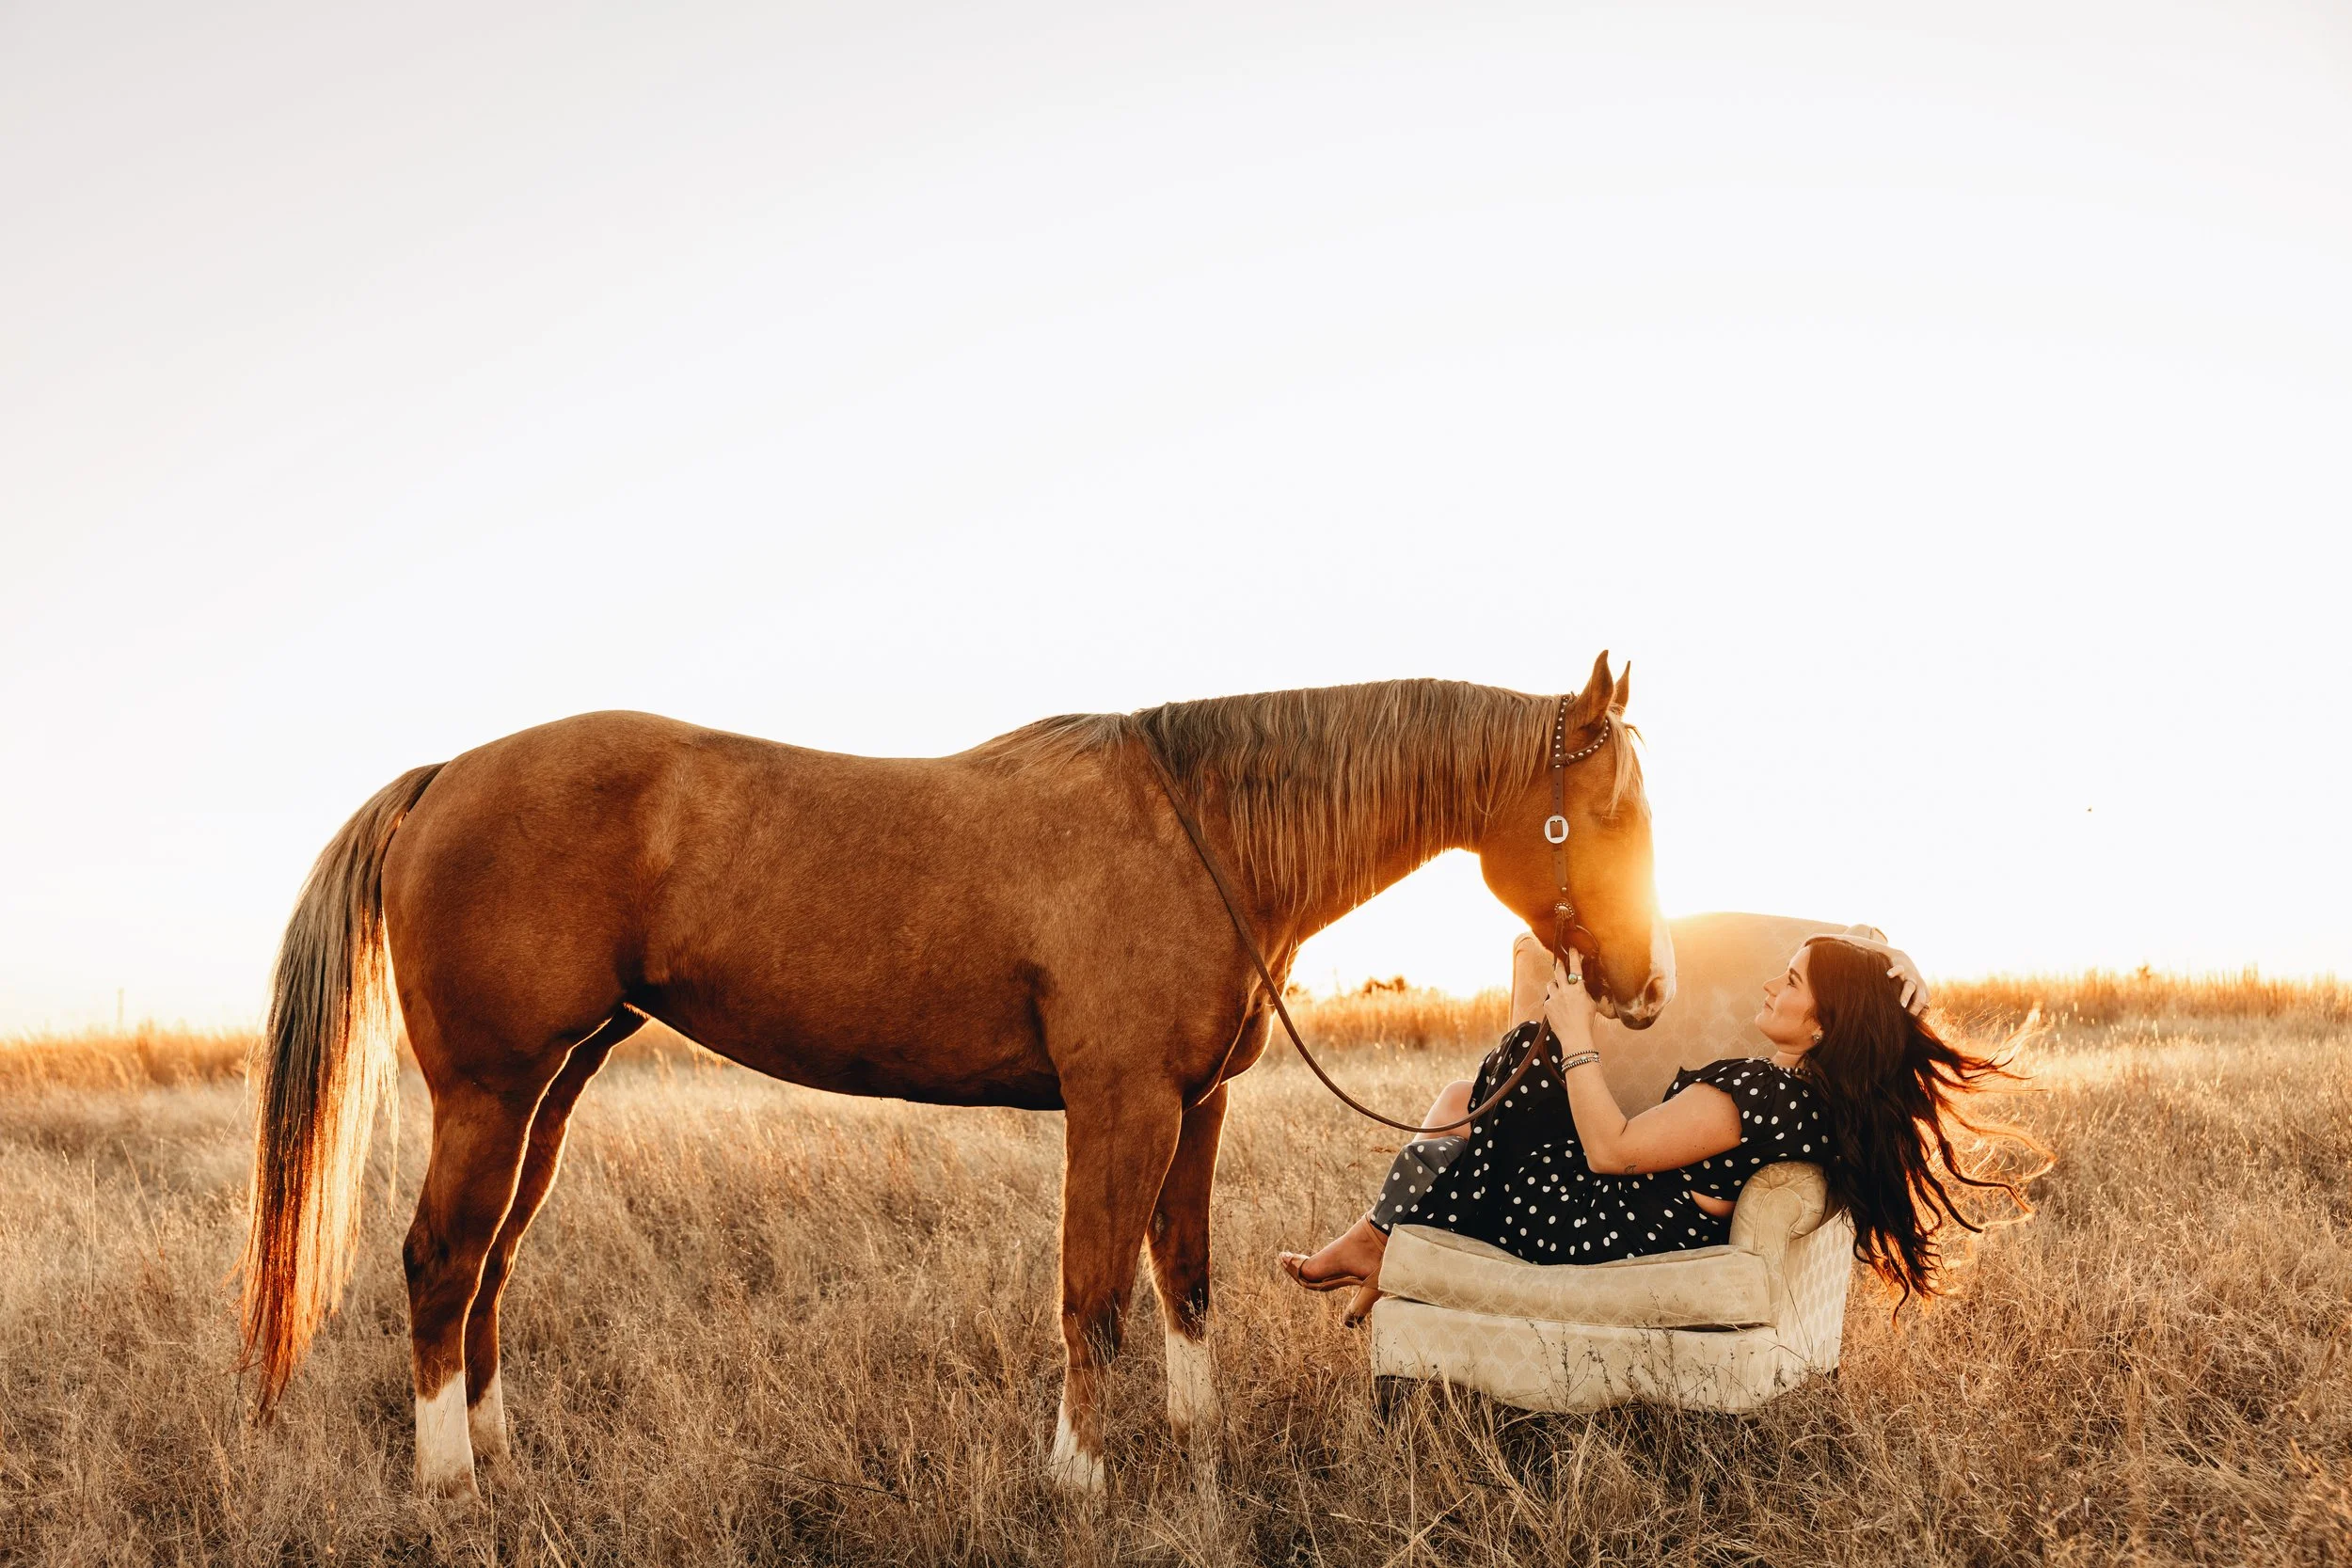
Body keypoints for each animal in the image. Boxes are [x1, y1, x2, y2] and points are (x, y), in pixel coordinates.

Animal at [239, 653, 1673, 1499]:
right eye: (1610, 811)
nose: (1645, 985)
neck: (1202, 831)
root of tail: (444, 777)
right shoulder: (1119, 1105)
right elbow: (1092, 1295)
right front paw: (1079, 1478)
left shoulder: (1194, 1105)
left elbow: (1184, 1279)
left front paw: (1197, 1446)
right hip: (491, 1089)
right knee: (439, 1260)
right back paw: (450, 1485)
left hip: (553, 1085)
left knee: (490, 1262)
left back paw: (493, 1449)